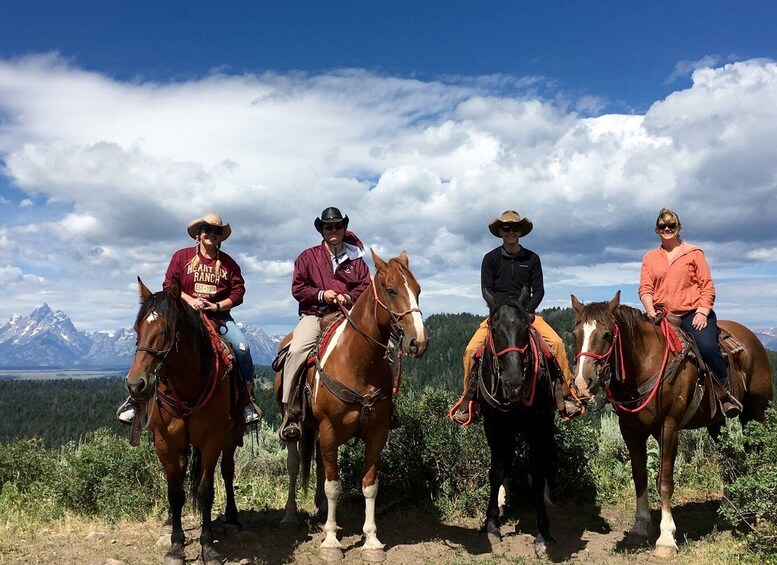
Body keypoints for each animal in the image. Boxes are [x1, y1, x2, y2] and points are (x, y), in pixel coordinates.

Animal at [126, 278, 244, 564]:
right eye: (137, 328)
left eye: (166, 331)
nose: (136, 385)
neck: (188, 387)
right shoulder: (165, 443)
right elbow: (175, 492)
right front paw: (176, 545)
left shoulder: (212, 441)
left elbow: (205, 491)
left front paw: (208, 546)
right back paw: (170, 520)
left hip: (230, 437)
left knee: (227, 472)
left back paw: (232, 517)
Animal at [272, 252, 428, 564]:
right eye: (391, 290)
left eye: (417, 290)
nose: (418, 342)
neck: (358, 362)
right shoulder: (330, 428)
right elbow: (334, 485)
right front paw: (331, 542)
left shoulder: (378, 432)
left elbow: (369, 484)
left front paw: (371, 541)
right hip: (296, 425)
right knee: (294, 465)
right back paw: (290, 516)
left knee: (321, 464)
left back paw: (321, 509)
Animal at [472, 288, 556, 552]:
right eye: (494, 328)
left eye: (525, 328)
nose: (514, 383)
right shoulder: (493, 425)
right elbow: (496, 470)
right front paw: (491, 524)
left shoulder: (537, 426)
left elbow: (536, 474)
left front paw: (543, 531)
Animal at [568, 290, 772, 556]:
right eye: (575, 334)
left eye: (607, 335)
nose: (583, 382)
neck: (645, 364)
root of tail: (753, 339)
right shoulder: (630, 430)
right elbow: (640, 477)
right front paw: (639, 529)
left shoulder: (669, 426)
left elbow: (664, 481)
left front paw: (666, 538)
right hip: (716, 423)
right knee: (732, 458)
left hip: (756, 412)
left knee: (757, 453)